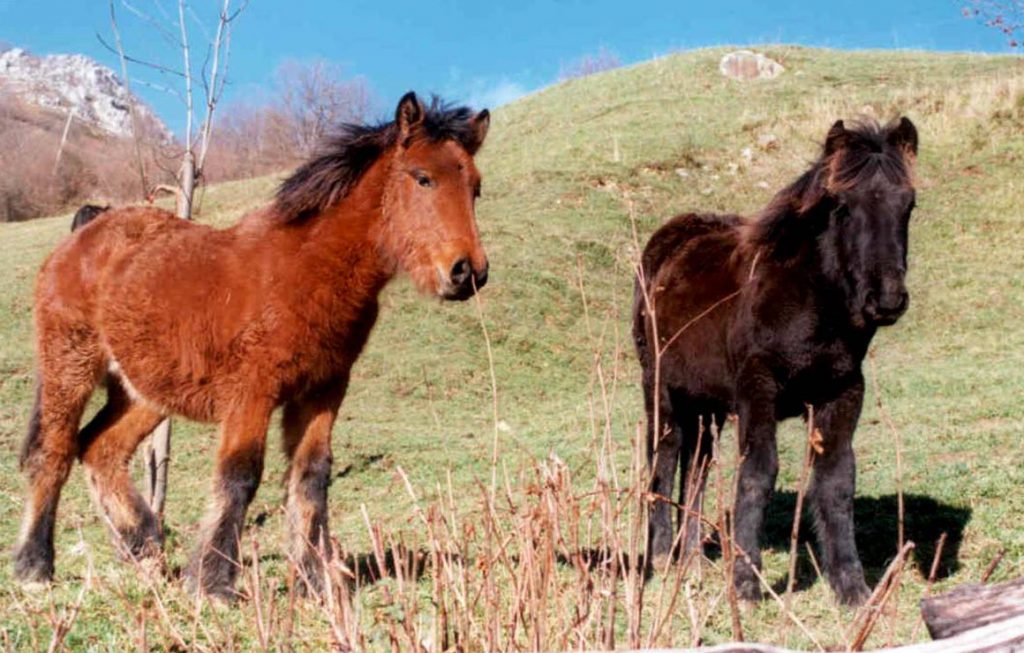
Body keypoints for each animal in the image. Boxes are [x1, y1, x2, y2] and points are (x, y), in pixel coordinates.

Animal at [14, 92, 491, 599]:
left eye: (475, 187)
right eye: (422, 178)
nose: (468, 272)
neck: (308, 268)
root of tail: (84, 232)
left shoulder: (323, 390)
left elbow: (311, 477)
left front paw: (315, 581)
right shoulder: (253, 389)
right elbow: (240, 474)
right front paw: (214, 583)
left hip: (143, 391)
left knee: (99, 450)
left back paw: (144, 547)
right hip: (70, 365)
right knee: (54, 452)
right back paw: (35, 567)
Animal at [633, 117, 918, 606]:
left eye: (909, 205)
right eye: (842, 207)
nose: (886, 299)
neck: (806, 301)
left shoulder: (842, 394)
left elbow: (836, 482)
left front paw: (851, 586)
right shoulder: (757, 390)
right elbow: (757, 474)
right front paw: (747, 583)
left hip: (708, 406)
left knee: (697, 470)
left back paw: (691, 558)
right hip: (661, 392)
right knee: (665, 462)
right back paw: (662, 556)